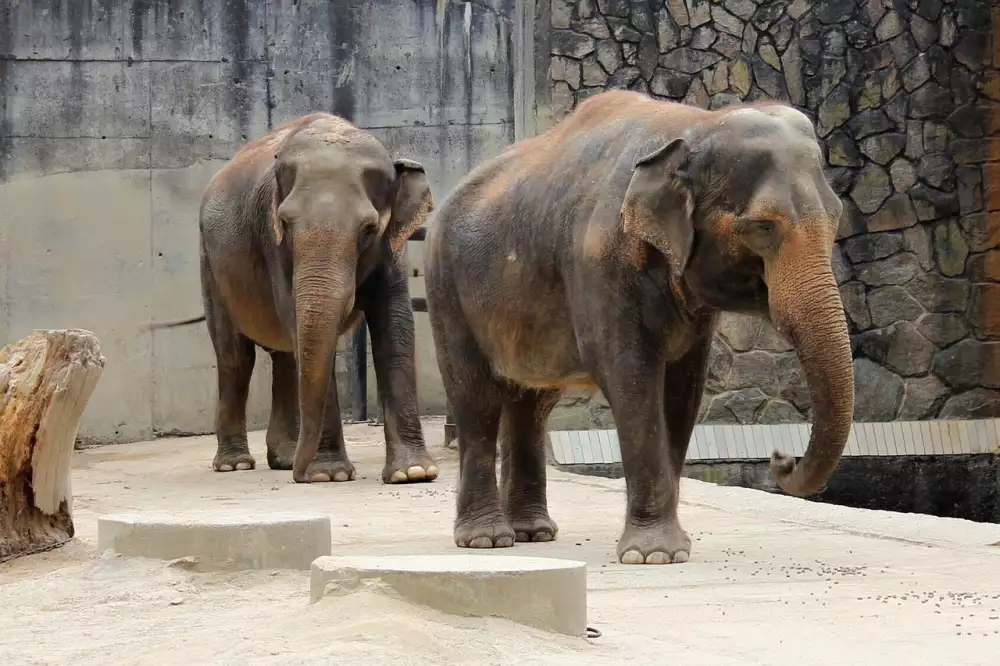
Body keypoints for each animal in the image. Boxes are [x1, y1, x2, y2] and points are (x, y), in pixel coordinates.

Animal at [151, 109, 438, 482]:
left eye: (369, 229)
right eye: (285, 223)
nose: (302, 475)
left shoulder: (392, 248)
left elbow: (396, 326)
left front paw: (413, 473)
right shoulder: (271, 241)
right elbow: (299, 325)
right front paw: (328, 475)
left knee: (285, 356)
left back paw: (284, 459)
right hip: (210, 265)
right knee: (235, 357)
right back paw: (236, 464)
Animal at [426, 91, 856, 564]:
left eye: (837, 217)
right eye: (762, 227)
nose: (781, 458)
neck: (696, 125)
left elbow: (683, 389)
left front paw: (672, 550)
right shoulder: (598, 265)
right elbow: (630, 378)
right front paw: (652, 556)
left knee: (532, 403)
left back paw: (532, 533)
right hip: (446, 290)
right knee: (476, 398)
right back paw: (486, 540)